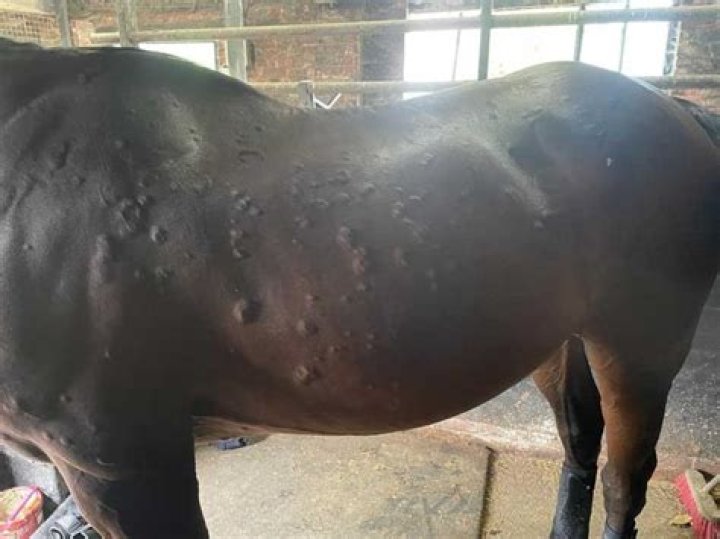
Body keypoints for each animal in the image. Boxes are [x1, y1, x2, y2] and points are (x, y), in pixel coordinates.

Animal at [0, 38, 718, 538]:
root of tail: (675, 110)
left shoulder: (118, 466)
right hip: (560, 341)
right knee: (579, 447)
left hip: (639, 347)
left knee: (624, 481)